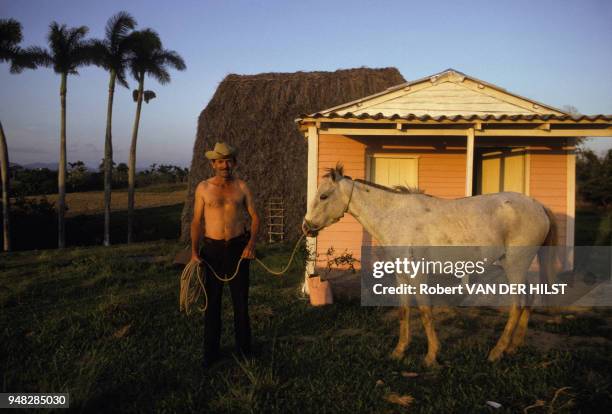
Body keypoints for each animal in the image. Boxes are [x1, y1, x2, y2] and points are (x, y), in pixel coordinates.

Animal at [304, 165, 556, 366]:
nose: (306, 227)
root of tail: (539, 206)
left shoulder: (418, 275)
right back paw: (513, 347)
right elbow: (404, 311)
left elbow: (425, 311)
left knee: (517, 305)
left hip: (515, 266)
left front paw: (431, 355)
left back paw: (497, 352)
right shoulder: (401, 276)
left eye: (324, 196)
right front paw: (399, 352)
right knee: (528, 299)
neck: (396, 217)